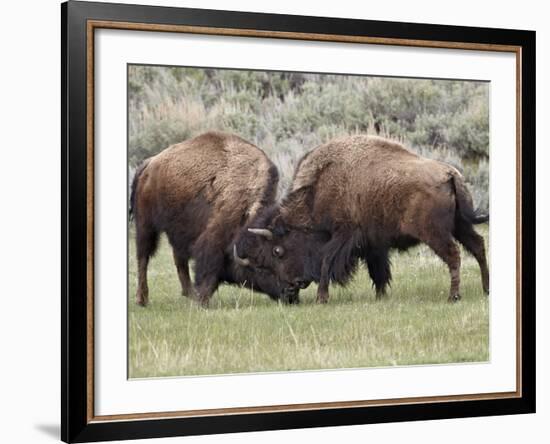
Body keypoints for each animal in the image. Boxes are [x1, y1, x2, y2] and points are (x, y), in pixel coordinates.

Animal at [130, 130, 294, 306]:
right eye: (264, 264)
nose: (290, 292)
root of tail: (149, 163)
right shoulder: (215, 234)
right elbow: (209, 266)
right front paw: (203, 300)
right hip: (146, 225)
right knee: (143, 256)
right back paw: (142, 299)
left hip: (175, 230)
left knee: (179, 259)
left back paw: (188, 293)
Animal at [235, 134, 494, 302]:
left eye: (278, 251)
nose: (293, 285)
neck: (318, 191)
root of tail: (450, 174)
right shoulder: (373, 244)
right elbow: (378, 271)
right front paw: (380, 296)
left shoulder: (344, 235)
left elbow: (326, 260)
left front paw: (322, 297)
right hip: (461, 226)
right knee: (478, 246)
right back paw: (486, 289)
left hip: (436, 233)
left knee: (454, 254)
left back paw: (454, 296)